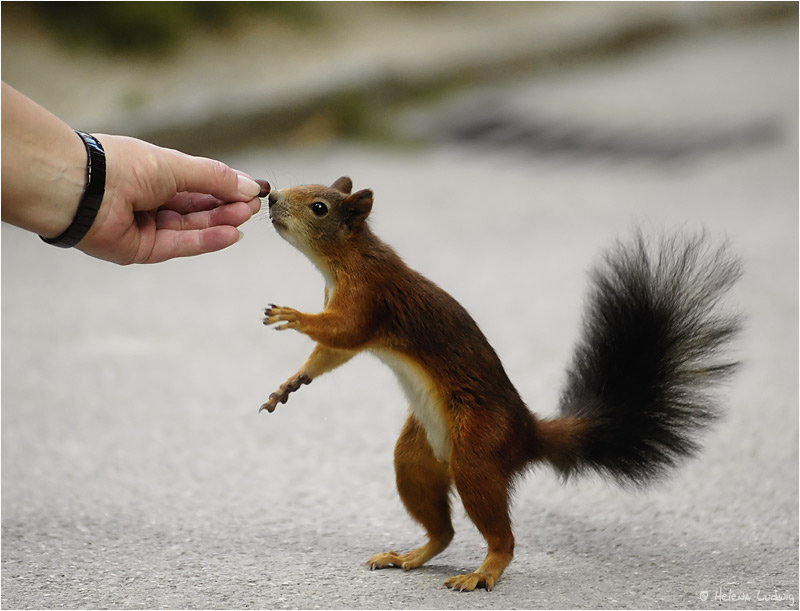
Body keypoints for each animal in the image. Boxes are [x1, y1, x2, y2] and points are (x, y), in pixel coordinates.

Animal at [260, 177, 740, 592]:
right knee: (443, 531)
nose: (272, 197)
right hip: (415, 458)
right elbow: (331, 353)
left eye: (318, 207)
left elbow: (343, 332)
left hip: (476, 450)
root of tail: (526, 432)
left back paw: (484, 572)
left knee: (500, 536)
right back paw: (410, 556)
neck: (345, 259)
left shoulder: (369, 296)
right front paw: (291, 384)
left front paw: (292, 315)